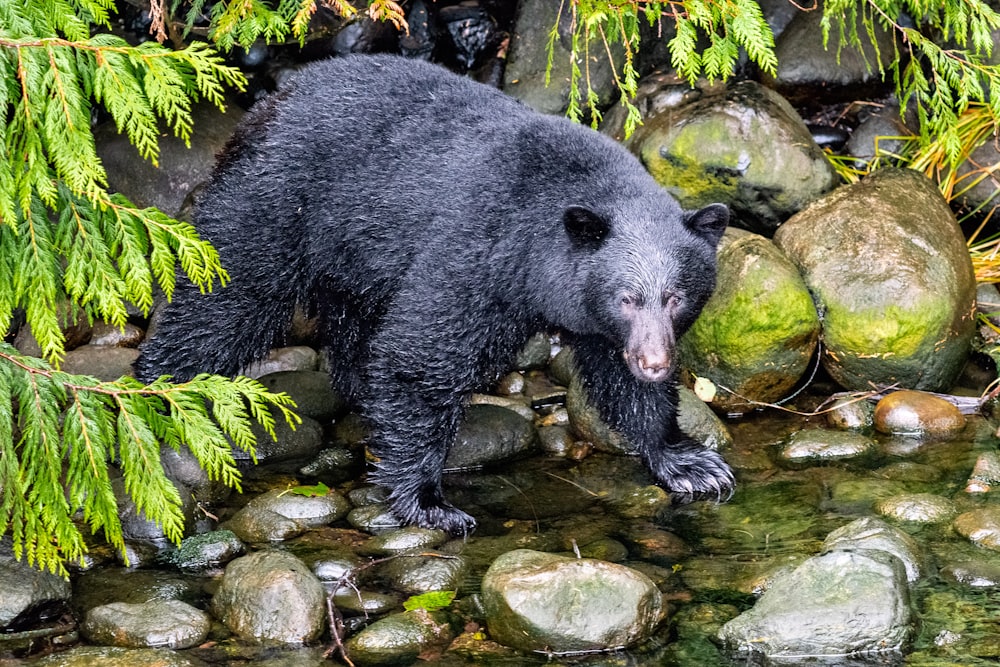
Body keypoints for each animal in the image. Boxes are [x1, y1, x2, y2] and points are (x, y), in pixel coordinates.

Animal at [133, 52, 732, 536]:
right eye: (627, 297)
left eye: (676, 297)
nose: (656, 362)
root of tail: (268, 103)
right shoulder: (476, 253)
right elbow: (421, 356)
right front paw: (428, 501)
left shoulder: (597, 323)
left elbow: (618, 380)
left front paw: (688, 462)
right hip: (276, 205)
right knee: (227, 302)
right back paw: (161, 390)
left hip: (354, 253)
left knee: (351, 323)